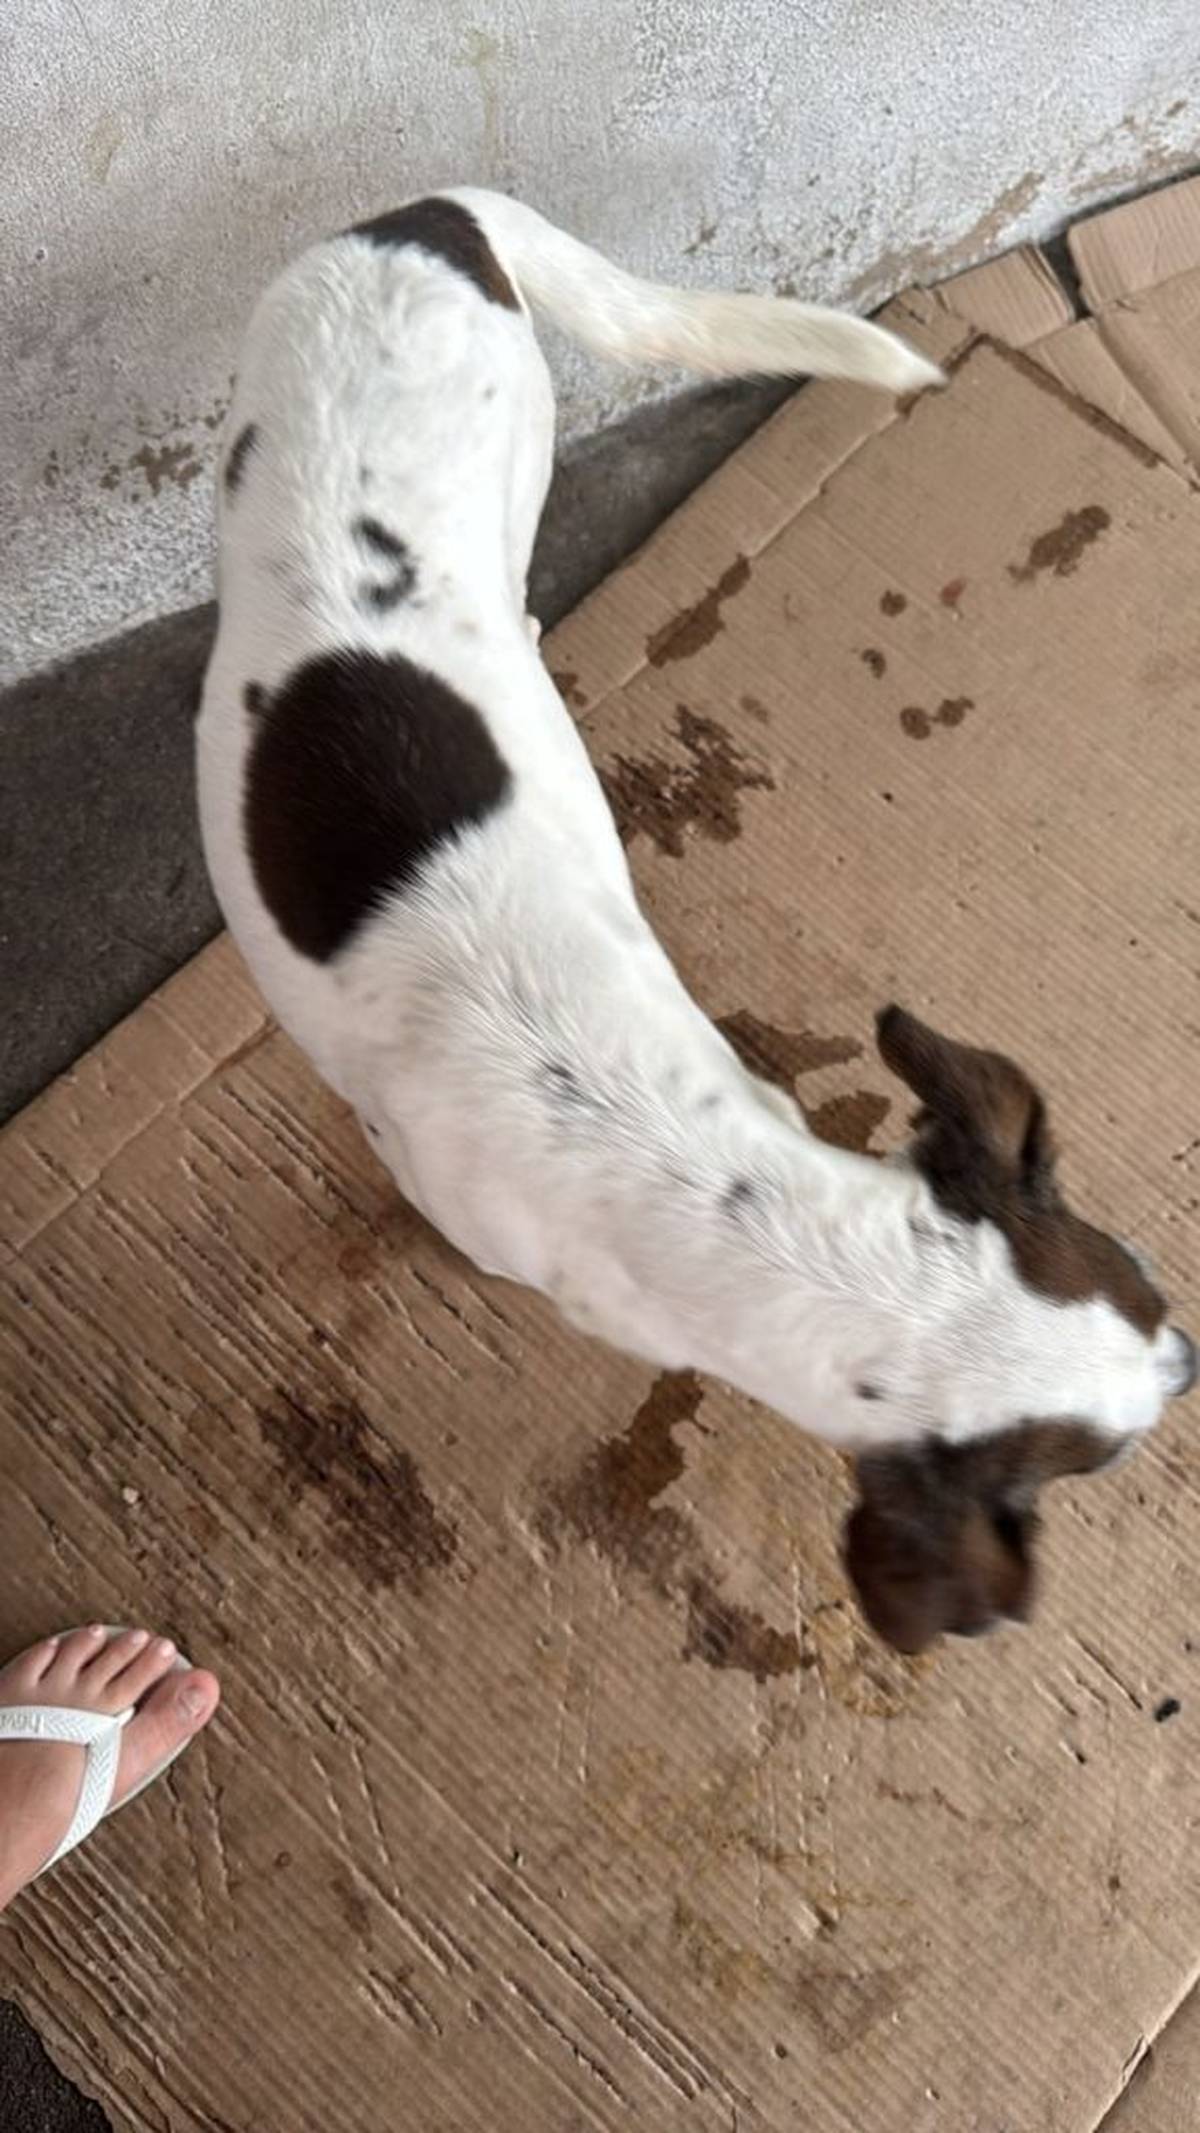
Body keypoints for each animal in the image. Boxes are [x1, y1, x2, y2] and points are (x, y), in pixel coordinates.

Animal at [196, 190, 1195, 1653]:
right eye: (1109, 1452)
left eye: (1144, 1284)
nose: (1191, 1356)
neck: (700, 1190)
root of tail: (430, 212)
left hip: (512, 444)